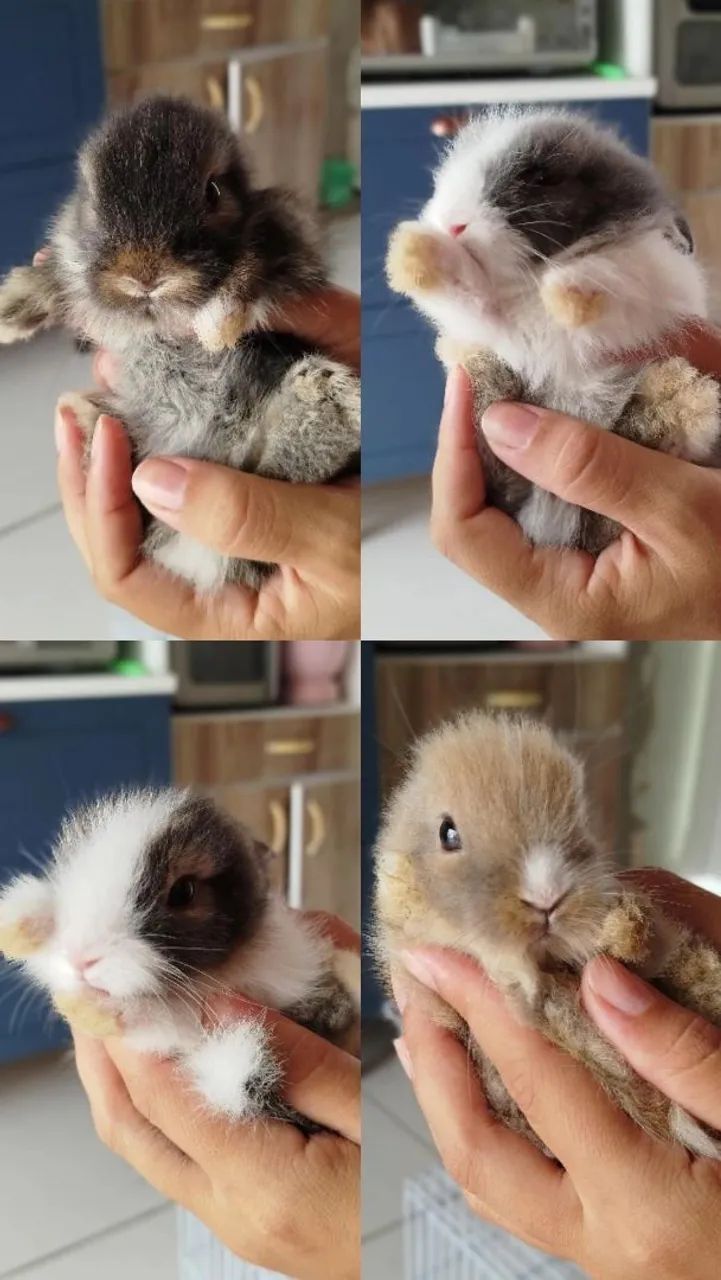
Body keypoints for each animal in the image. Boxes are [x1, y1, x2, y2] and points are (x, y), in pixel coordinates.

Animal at [0, 96, 360, 593]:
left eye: (213, 192)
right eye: (91, 198)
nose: (144, 276)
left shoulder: (288, 234)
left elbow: (252, 261)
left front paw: (215, 326)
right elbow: (55, 277)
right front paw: (9, 313)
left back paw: (330, 404)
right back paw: (85, 417)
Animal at [385, 108, 721, 554]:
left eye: (542, 177)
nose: (454, 223)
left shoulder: (656, 279)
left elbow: (611, 269)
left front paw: (566, 294)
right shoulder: (494, 326)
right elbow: (470, 293)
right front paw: (413, 249)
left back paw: (687, 397)